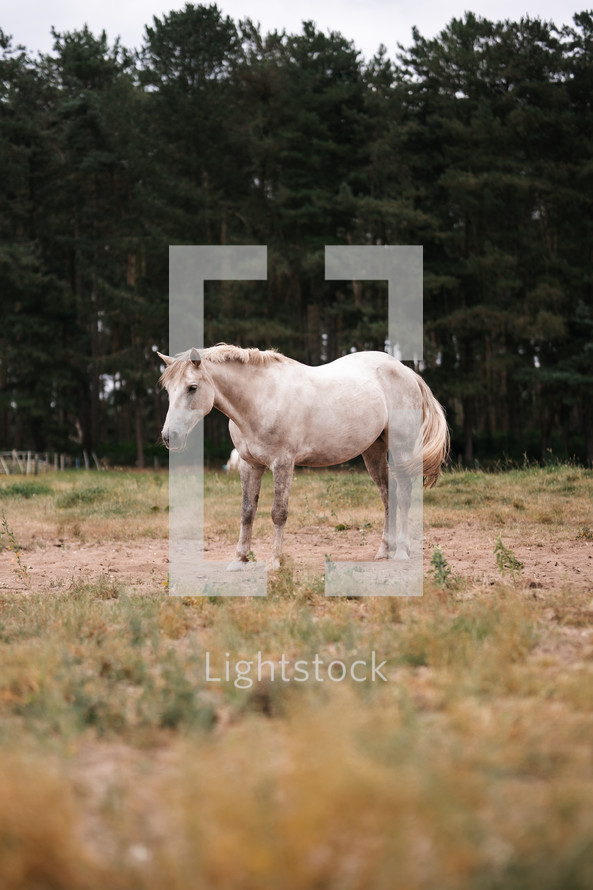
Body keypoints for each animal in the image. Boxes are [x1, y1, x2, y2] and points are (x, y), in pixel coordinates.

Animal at [158, 344, 448, 572]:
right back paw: (384, 550)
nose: (169, 437)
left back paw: (402, 552)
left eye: (192, 387)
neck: (261, 398)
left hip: (401, 447)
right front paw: (240, 560)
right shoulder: (250, 465)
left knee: (405, 495)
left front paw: (275, 562)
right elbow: (247, 512)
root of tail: (406, 371)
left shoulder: (283, 463)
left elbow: (278, 513)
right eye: (169, 390)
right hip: (373, 451)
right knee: (388, 496)